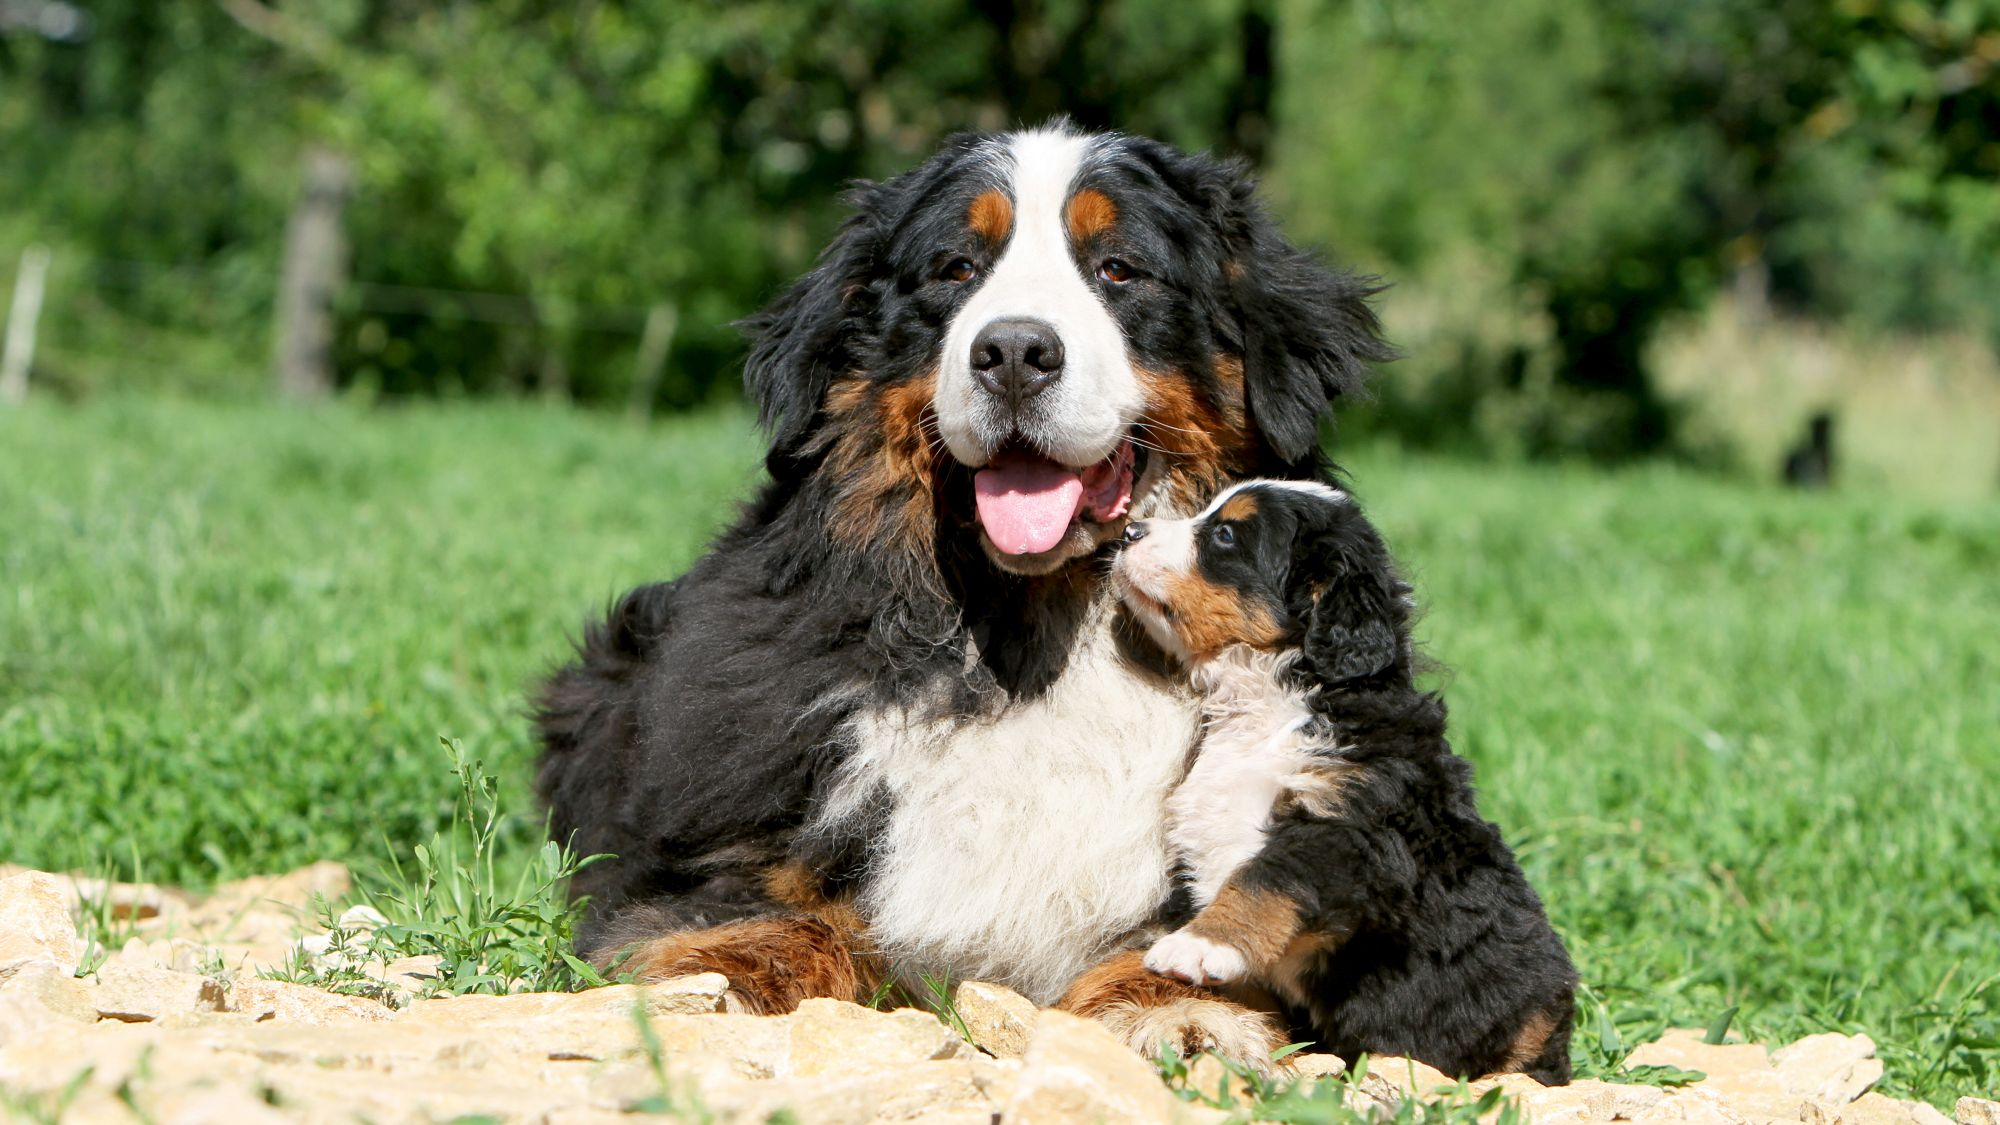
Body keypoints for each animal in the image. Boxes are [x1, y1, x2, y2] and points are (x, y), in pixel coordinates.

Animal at [540, 122, 1400, 1056]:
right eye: (956, 267)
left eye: (1119, 268)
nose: (1015, 352)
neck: (1032, 637)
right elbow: (772, 908)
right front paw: (718, 979)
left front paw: (1178, 1007)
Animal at [1112, 476, 1576, 1080]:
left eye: (1226, 535)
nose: (1128, 531)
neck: (1279, 699)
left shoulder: (1352, 829)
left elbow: (1263, 879)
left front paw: (1200, 944)